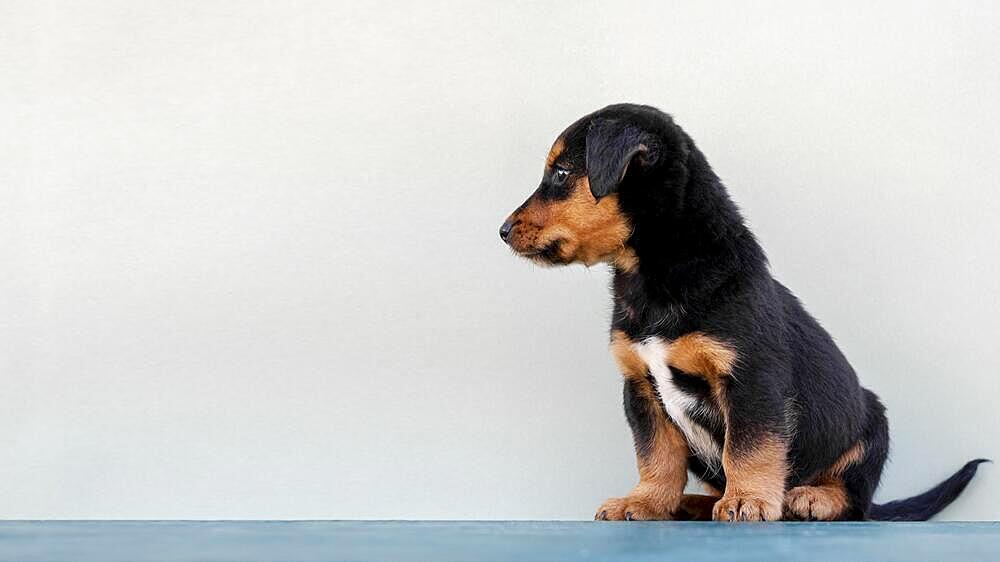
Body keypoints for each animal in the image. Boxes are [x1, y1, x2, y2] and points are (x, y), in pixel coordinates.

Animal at [500, 103, 984, 520]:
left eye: (561, 173)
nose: (502, 230)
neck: (654, 274)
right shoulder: (639, 387)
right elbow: (656, 456)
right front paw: (645, 502)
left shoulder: (751, 381)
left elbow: (748, 449)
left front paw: (747, 501)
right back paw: (693, 503)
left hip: (871, 427)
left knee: (854, 499)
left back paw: (808, 498)